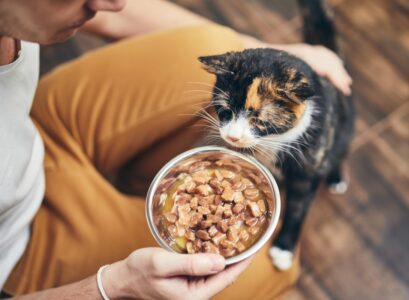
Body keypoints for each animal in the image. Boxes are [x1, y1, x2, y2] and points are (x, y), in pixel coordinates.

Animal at [196, 0, 352, 270]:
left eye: (258, 120)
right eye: (225, 110)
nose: (233, 138)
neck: (273, 143)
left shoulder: (307, 170)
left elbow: (297, 208)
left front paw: (284, 249)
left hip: (345, 129)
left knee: (340, 151)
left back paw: (335, 176)